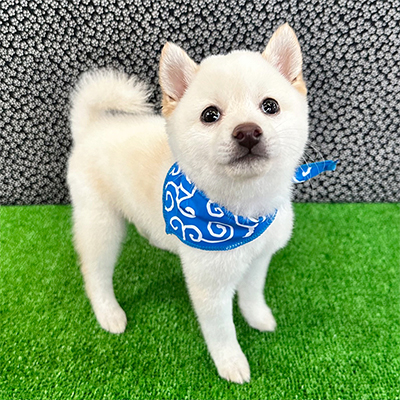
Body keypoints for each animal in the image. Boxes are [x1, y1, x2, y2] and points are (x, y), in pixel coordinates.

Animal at [67, 23, 308, 383]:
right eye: (210, 115)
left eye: (270, 106)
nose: (248, 131)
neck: (243, 211)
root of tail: (92, 128)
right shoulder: (210, 285)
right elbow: (222, 331)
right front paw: (231, 363)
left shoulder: (259, 257)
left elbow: (252, 293)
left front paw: (258, 317)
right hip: (101, 224)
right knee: (95, 272)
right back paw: (108, 312)